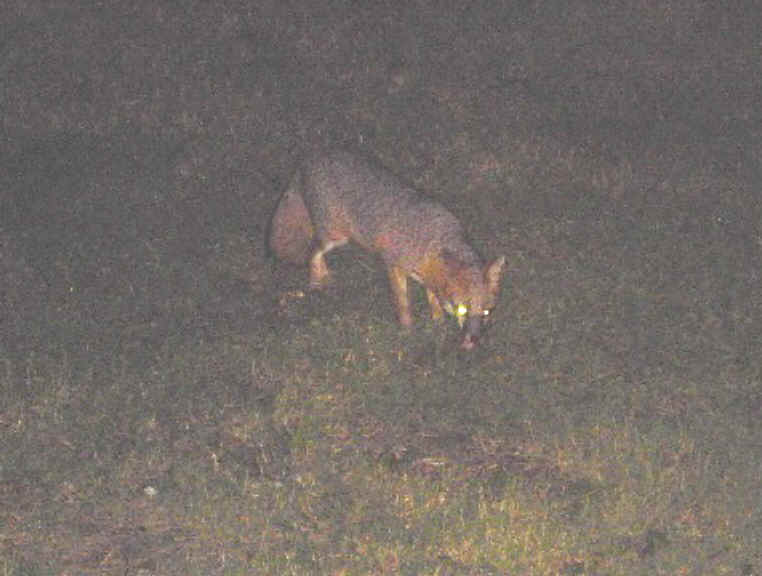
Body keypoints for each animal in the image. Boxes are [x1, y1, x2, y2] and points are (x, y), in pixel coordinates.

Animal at [268, 150, 505, 349]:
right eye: (461, 309)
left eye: (486, 311)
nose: (472, 341)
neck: (433, 242)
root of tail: (309, 159)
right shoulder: (393, 265)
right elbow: (403, 303)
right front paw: (408, 330)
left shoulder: (430, 278)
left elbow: (434, 300)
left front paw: (437, 323)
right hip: (335, 237)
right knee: (312, 251)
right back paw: (318, 280)